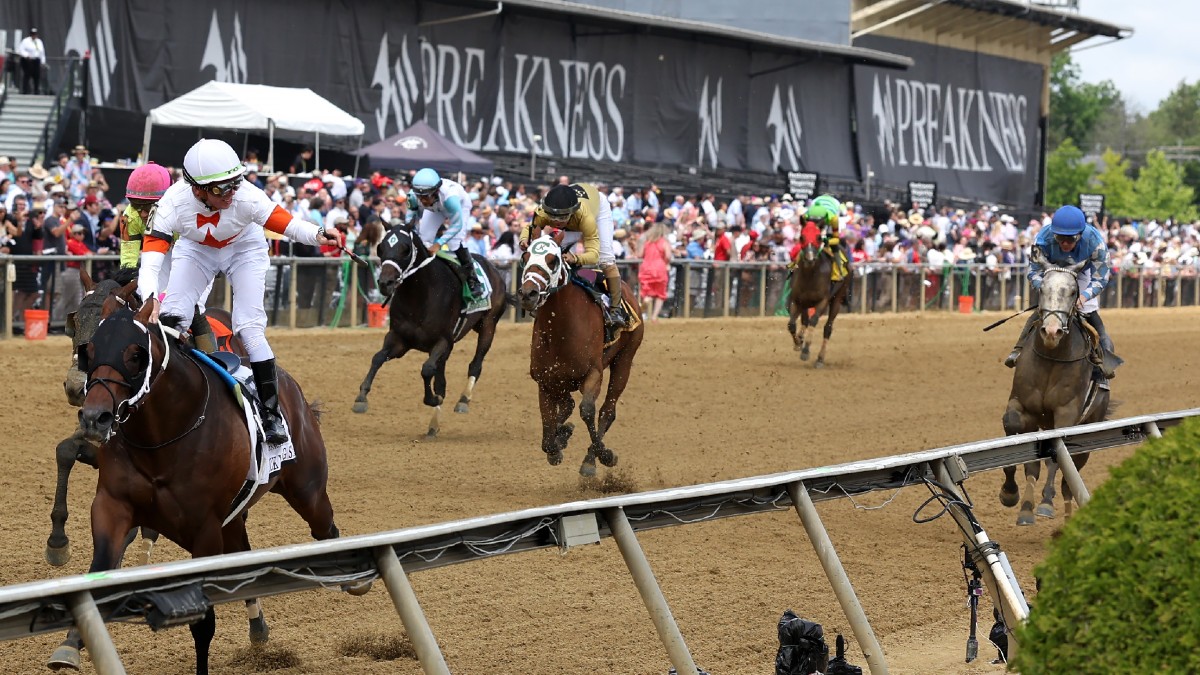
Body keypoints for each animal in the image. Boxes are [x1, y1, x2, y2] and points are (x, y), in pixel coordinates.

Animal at [50, 296, 360, 667]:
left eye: (136, 354)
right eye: (91, 349)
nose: (95, 417)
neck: (163, 435)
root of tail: (292, 389)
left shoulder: (205, 530)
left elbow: (202, 624)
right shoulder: (113, 506)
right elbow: (100, 572)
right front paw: (71, 643)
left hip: (307, 491)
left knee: (325, 528)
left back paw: (354, 578)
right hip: (236, 516)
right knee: (243, 554)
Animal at [518, 230, 643, 473]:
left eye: (553, 260)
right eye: (525, 256)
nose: (529, 294)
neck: (561, 331)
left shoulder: (593, 373)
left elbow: (586, 410)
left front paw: (604, 455)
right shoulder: (545, 379)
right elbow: (548, 430)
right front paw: (559, 441)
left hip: (625, 358)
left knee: (607, 410)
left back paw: (589, 459)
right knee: (569, 404)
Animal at [787, 220, 854, 367]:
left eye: (818, 237)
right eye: (801, 237)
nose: (810, 259)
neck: (810, 275)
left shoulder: (823, 301)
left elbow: (814, 320)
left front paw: (805, 351)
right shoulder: (796, 300)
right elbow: (792, 324)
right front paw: (798, 342)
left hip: (837, 299)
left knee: (827, 328)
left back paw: (820, 358)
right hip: (805, 302)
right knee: (804, 320)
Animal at [993, 252, 1113, 526]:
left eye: (1073, 292)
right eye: (1042, 289)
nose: (1051, 331)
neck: (1051, 359)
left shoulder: (1066, 413)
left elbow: (1058, 458)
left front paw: (1046, 503)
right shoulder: (1021, 406)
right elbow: (1015, 437)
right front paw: (1010, 494)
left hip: (1089, 427)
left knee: (1068, 479)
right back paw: (1028, 507)